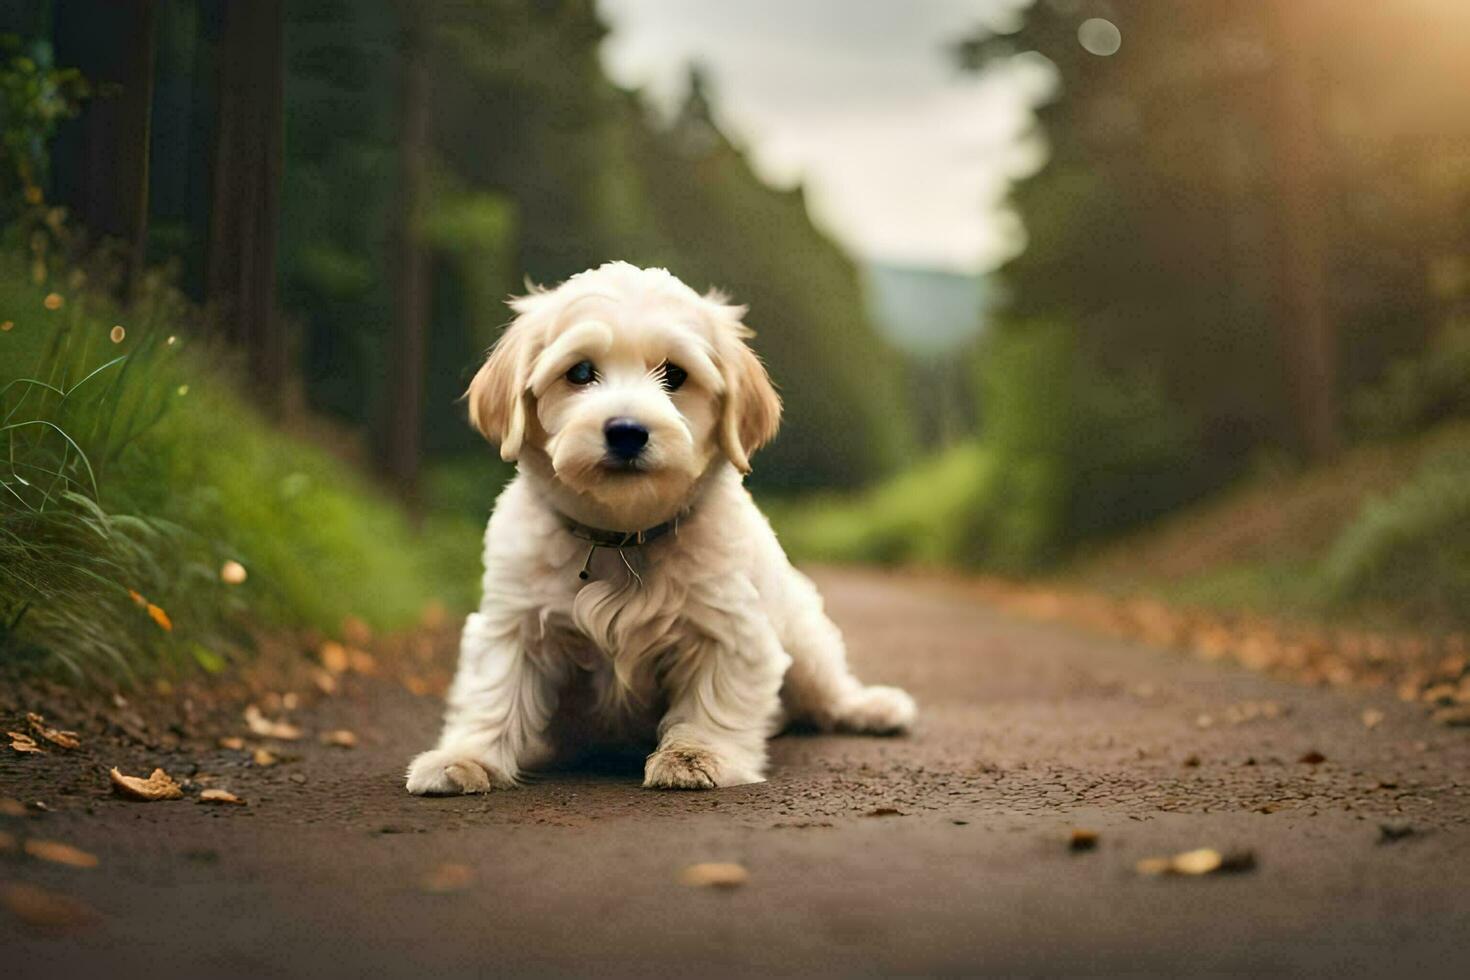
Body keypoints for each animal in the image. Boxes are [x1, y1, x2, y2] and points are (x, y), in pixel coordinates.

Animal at [408, 262, 911, 799]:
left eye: (675, 375)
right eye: (580, 372)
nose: (627, 431)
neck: (622, 535)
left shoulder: (730, 628)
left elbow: (714, 696)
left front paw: (696, 756)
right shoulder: (512, 622)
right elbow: (494, 692)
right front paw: (464, 758)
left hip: (806, 640)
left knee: (828, 689)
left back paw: (873, 707)